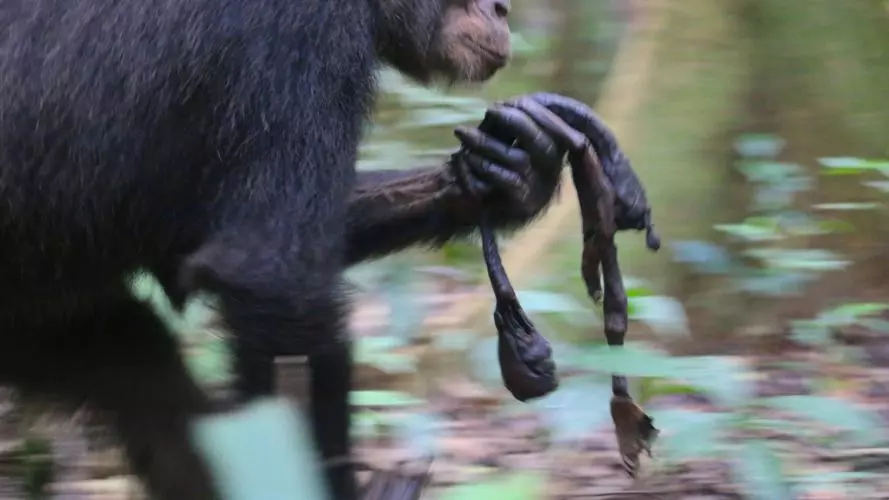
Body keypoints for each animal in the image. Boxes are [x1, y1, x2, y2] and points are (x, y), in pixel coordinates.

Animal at [0, 0, 607, 499]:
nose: (501, 7)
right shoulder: (299, 37)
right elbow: (273, 273)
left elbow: (193, 238)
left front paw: (513, 175)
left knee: (145, 375)